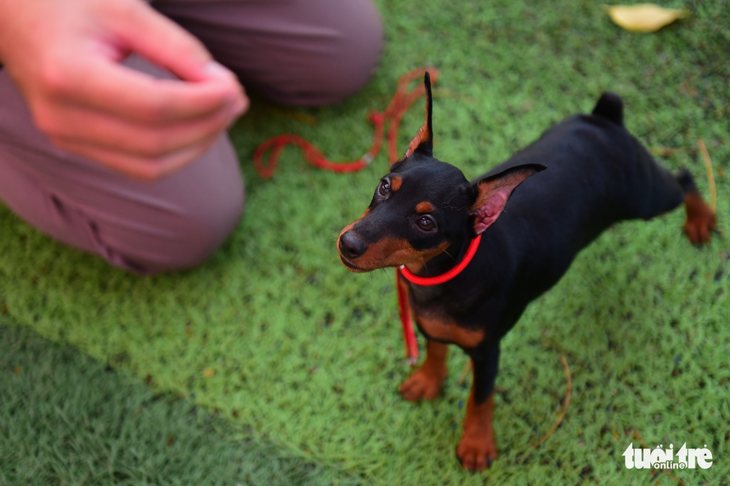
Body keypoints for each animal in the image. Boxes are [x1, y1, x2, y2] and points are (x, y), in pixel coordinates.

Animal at [336, 73, 712, 470]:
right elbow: (436, 349)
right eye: (384, 186)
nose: (348, 244)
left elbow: (481, 397)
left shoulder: (488, 351)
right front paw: (428, 381)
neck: (443, 274)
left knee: (683, 178)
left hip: (647, 197)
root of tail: (606, 118)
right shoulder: (429, 322)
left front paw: (476, 444)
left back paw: (701, 219)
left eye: (426, 223)